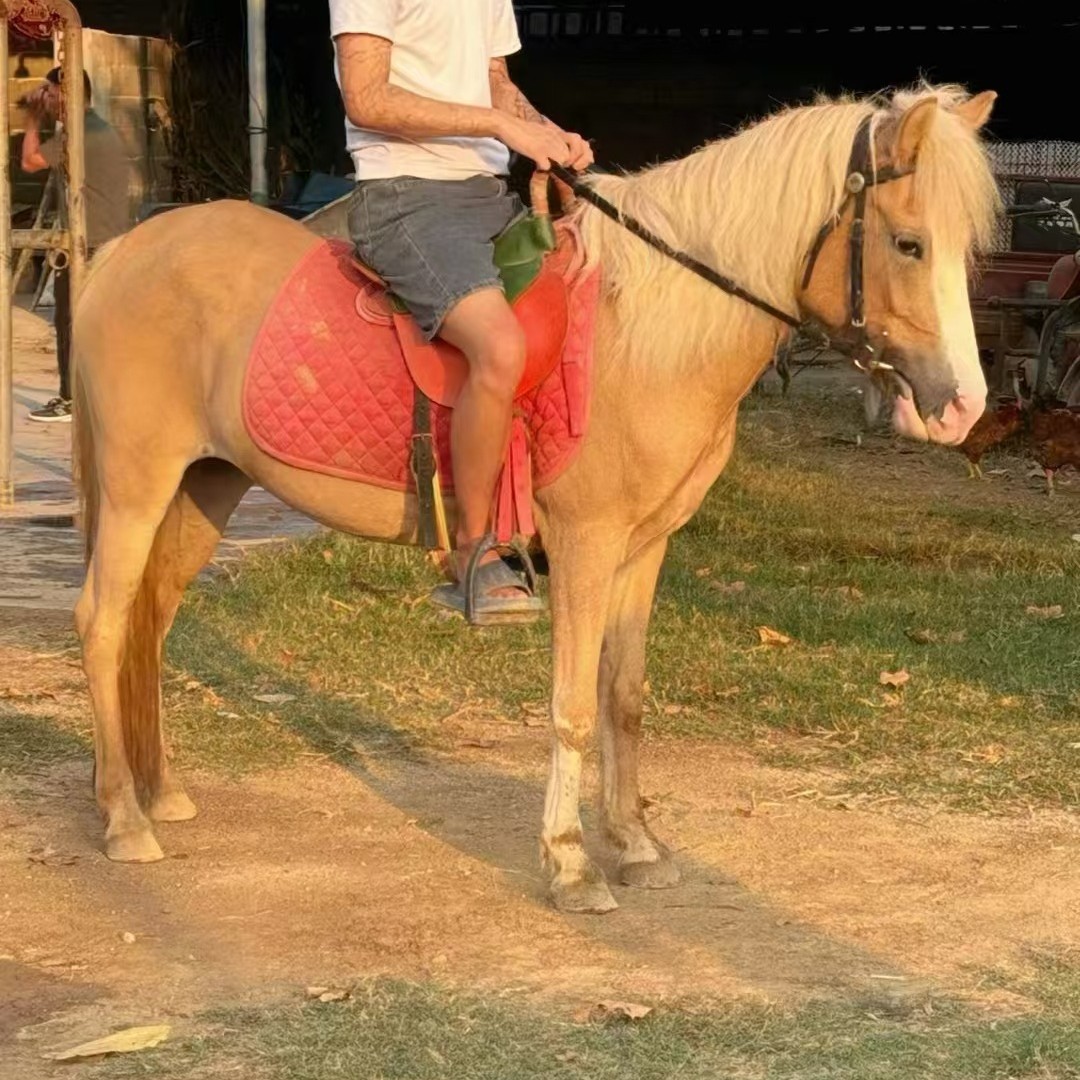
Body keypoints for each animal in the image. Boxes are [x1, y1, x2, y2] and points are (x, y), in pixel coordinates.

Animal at [71, 82, 1000, 914]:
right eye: (909, 244)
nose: (965, 406)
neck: (645, 328)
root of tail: (122, 253)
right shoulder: (586, 545)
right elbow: (573, 705)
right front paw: (570, 862)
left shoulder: (645, 548)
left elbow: (624, 697)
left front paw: (634, 844)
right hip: (137, 485)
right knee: (104, 619)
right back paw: (122, 819)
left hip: (207, 485)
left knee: (151, 617)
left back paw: (159, 792)